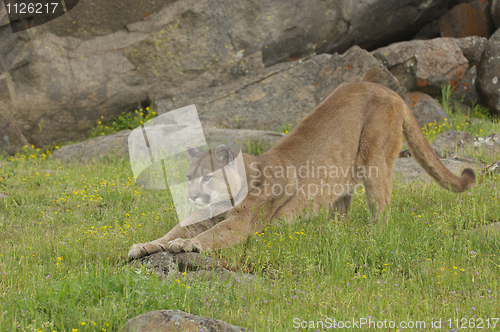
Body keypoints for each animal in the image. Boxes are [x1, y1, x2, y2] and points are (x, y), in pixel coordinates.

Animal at [127, 81, 474, 258]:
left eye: (207, 177)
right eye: (188, 177)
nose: (192, 196)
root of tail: (389, 89)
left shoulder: (241, 222)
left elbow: (214, 233)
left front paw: (187, 245)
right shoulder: (202, 215)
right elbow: (173, 230)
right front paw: (143, 245)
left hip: (374, 161)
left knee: (382, 207)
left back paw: (373, 238)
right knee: (340, 209)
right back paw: (333, 233)